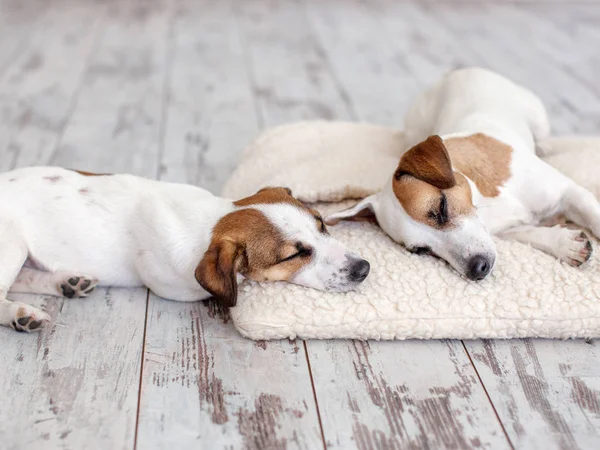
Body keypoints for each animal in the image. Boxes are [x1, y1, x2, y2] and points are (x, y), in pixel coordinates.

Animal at [0, 167, 370, 332]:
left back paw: (66, 282)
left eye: (321, 225)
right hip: (11, 243)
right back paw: (20, 314)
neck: (210, 223)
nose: (364, 268)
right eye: (295, 255)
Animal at [326, 66, 596, 280]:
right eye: (421, 250)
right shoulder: (504, 231)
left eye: (441, 207)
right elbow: (530, 233)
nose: (477, 269)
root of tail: (452, 73)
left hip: (537, 117)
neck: (484, 199)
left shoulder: (570, 192)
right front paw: (564, 244)